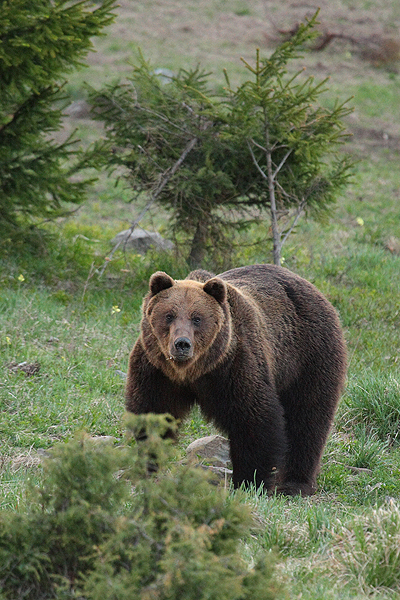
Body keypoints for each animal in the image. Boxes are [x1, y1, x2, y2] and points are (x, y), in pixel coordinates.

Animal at [126, 264, 346, 494]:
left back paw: (295, 483)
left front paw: (250, 481)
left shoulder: (234, 366)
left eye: (197, 318)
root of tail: (312, 288)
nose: (182, 344)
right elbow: (153, 414)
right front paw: (149, 465)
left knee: (307, 418)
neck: (192, 371)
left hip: (308, 356)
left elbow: (254, 420)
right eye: (169, 315)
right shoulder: (156, 370)